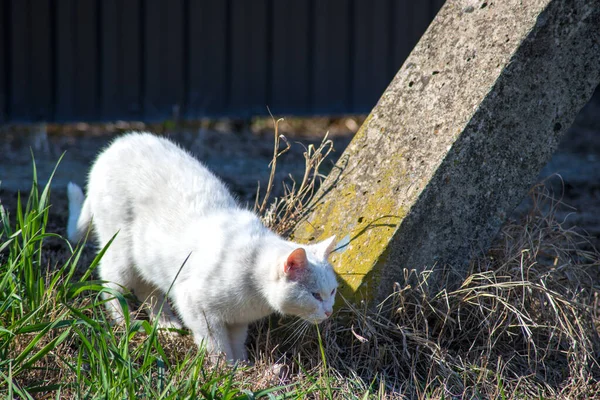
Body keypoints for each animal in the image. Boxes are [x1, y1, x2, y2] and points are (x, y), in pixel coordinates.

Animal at [67, 133, 338, 360]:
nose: (329, 312)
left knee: (148, 289)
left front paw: (242, 366)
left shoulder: (238, 320)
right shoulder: (195, 305)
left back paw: (166, 325)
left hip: (148, 258)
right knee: (110, 284)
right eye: (315, 295)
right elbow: (216, 343)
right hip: (120, 249)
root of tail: (113, 147)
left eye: (333, 292)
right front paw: (225, 369)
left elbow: (236, 341)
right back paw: (126, 322)